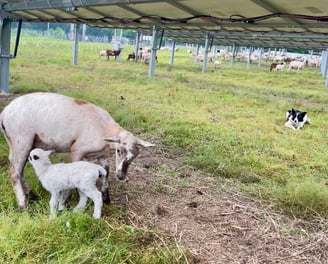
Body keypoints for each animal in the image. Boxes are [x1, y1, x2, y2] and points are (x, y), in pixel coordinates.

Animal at [0, 92, 155, 211]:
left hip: (18, 142)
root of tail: (4, 113)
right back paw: (23, 205)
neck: (105, 130)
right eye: (118, 151)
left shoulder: (100, 154)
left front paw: (106, 197)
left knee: (18, 169)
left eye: (135, 156)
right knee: (14, 173)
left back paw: (31, 195)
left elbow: (106, 170)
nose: (121, 177)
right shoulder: (77, 150)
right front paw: (74, 199)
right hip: (21, 140)